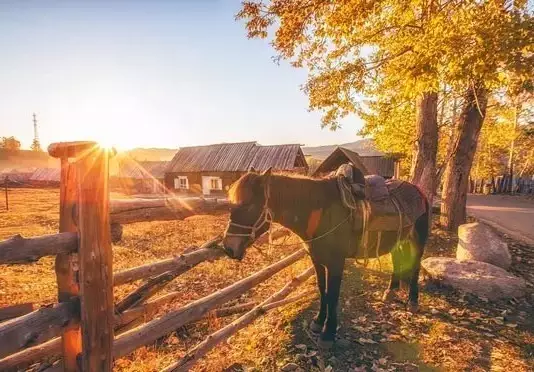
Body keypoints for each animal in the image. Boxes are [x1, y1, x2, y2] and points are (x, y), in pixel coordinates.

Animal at [222, 167, 432, 350]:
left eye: (249, 205)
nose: (228, 248)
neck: (320, 212)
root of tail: (418, 191)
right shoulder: (317, 259)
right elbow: (322, 290)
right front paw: (318, 321)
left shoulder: (336, 263)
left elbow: (332, 295)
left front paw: (328, 334)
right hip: (399, 239)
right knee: (398, 260)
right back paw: (391, 291)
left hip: (417, 239)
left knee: (416, 266)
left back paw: (413, 301)